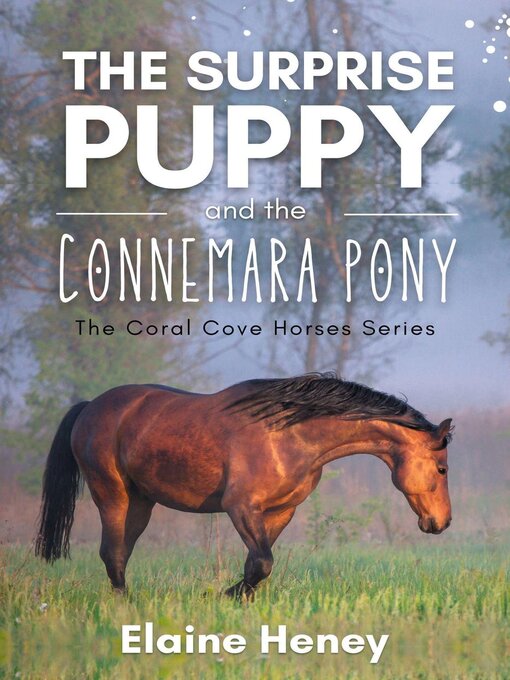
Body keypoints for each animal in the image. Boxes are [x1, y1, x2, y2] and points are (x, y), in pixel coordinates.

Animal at [35, 373, 453, 598]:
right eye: (442, 468)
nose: (442, 523)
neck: (289, 434)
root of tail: (90, 408)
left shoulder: (280, 511)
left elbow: (256, 564)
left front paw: (235, 600)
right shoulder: (241, 507)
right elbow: (263, 562)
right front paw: (220, 595)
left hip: (141, 502)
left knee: (119, 553)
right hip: (113, 496)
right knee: (113, 553)